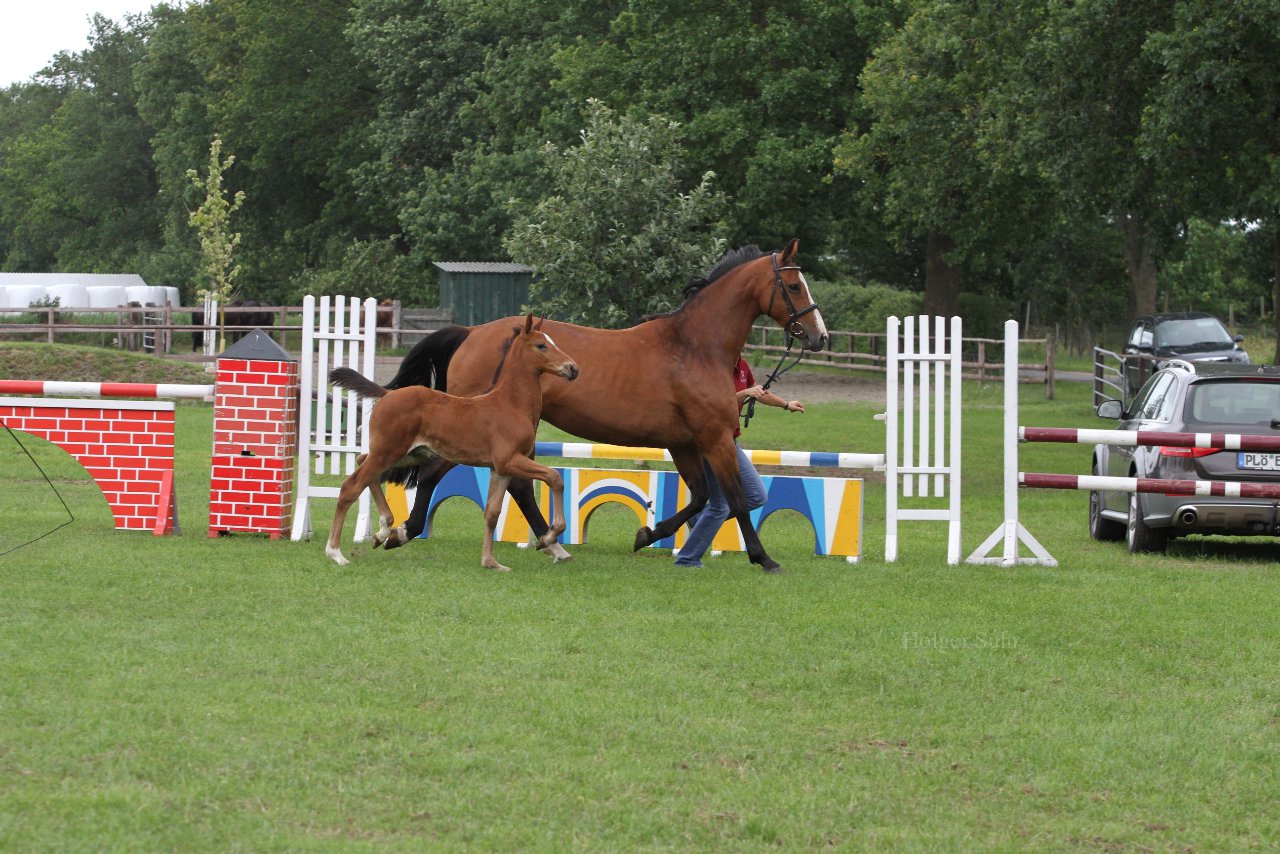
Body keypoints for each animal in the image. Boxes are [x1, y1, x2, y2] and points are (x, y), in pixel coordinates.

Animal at [322, 313, 578, 568]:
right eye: (541, 345)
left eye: (553, 341)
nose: (573, 368)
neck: (510, 404)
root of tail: (387, 394)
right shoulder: (509, 460)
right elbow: (554, 478)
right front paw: (549, 537)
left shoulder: (501, 468)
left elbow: (492, 512)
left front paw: (491, 562)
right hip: (388, 452)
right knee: (350, 486)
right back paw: (336, 552)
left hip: (406, 454)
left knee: (362, 462)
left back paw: (384, 529)